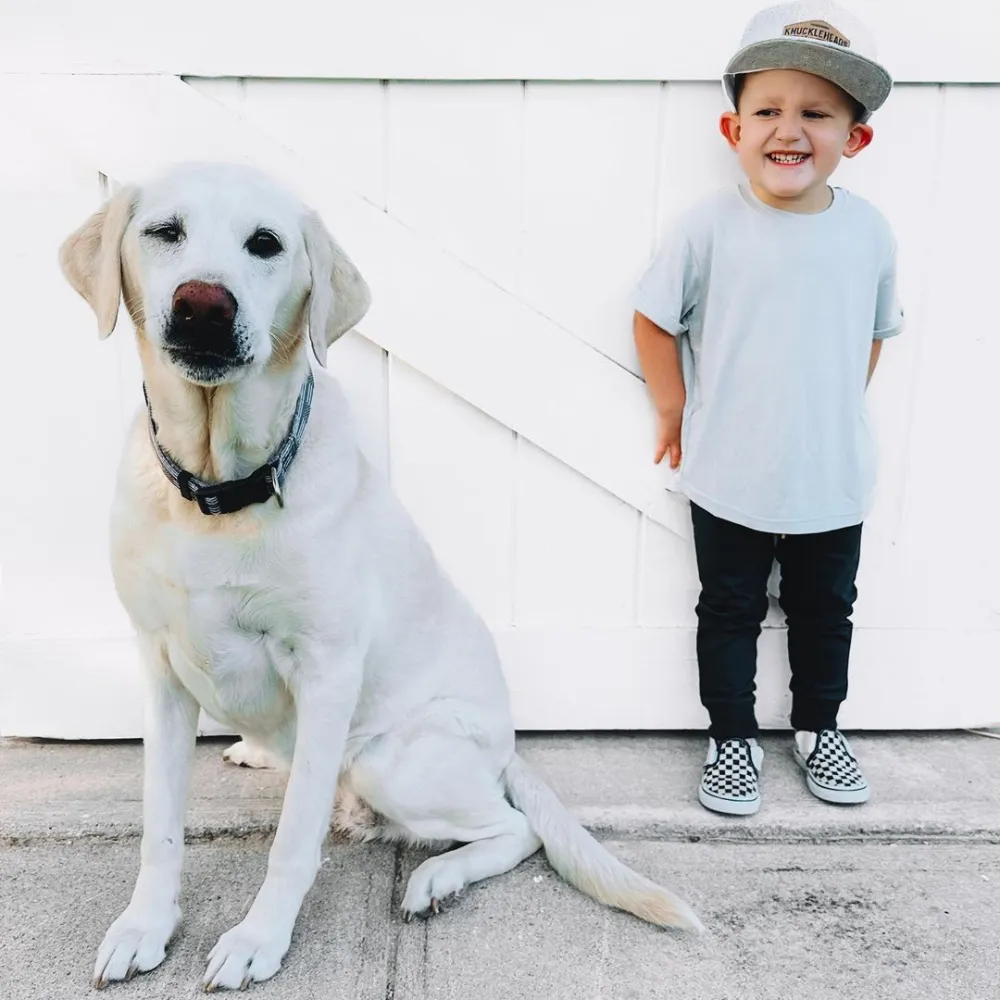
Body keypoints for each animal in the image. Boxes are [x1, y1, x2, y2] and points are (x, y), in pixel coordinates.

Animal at [60, 164, 704, 992]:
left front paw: (257, 940)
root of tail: (507, 747)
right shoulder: (162, 669)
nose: (203, 305)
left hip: (388, 761)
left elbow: (292, 840)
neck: (217, 491)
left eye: (265, 244)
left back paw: (438, 877)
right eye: (164, 232)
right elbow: (160, 828)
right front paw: (145, 926)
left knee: (515, 829)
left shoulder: (327, 668)